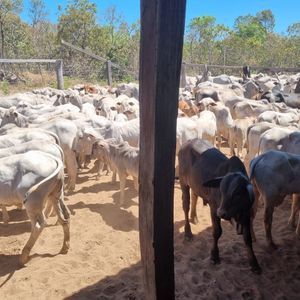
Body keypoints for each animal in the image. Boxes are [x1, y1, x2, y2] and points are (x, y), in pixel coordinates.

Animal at [178, 139, 260, 274]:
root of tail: (189, 141)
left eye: (237, 193)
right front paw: (214, 256)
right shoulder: (214, 208)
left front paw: (254, 263)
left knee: (195, 196)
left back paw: (194, 217)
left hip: (195, 184)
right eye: (221, 190)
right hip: (183, 182)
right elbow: (217, 232)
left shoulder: (246, 214)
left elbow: (247, 238)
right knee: (186, 205)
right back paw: (188, 232)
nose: (222, 213)